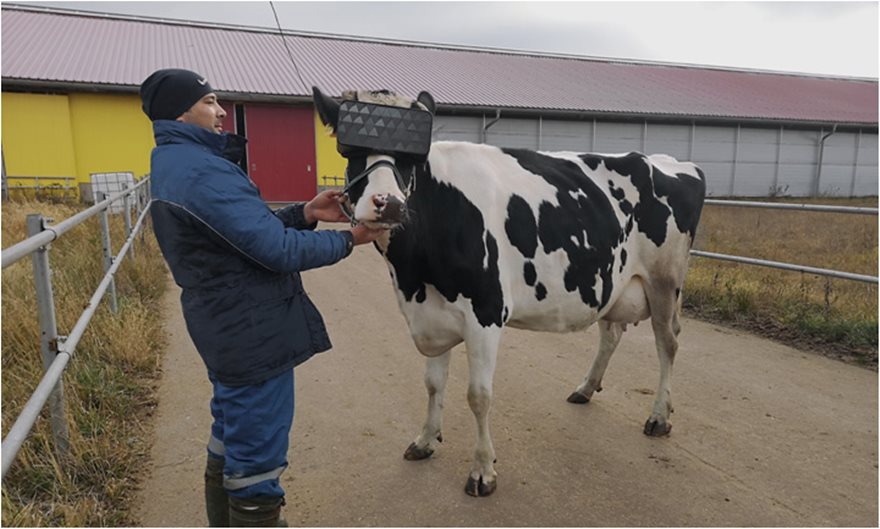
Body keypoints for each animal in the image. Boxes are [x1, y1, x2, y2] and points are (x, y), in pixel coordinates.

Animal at [312, 86, 704, 496]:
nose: (388, 203)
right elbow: (433, 384)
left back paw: (659, 417)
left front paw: (483, 470)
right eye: (350, 152)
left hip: (665, 281)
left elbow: (478, 396)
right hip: (612, 281)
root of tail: (670, 162)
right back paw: (585, 388)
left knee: (668, 343)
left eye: (411, 158)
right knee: (611, 332)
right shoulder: (430, 315)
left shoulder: (485, 312)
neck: (414, 275)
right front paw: (425, 440)